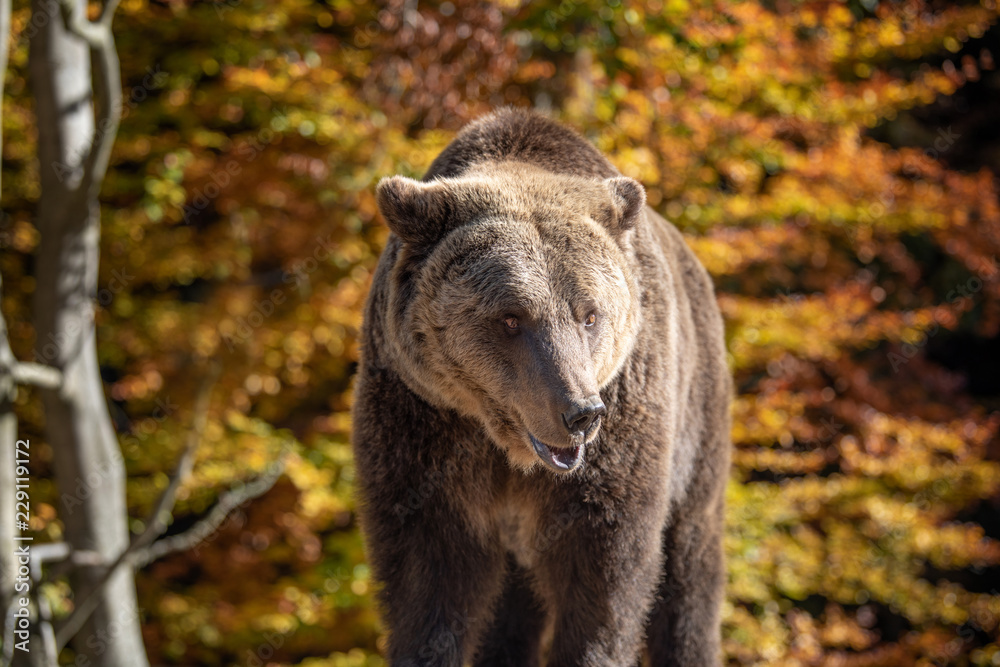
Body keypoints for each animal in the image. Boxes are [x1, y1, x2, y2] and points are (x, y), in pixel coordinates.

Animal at [352, 107, 731, 667]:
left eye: (590, 314)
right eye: (511, 318)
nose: (580, 413)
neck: (507, 448)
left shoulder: (618, 444)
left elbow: (605, 579)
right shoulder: (424, 423)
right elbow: (427, 581)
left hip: (698, 420)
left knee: (690, 567)